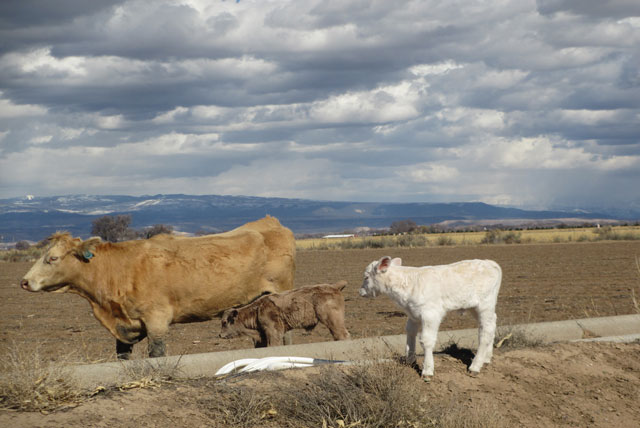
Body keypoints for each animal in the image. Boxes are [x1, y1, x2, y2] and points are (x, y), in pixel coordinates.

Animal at [20, 216, 296, 359]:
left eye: (52, 258)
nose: (24, 281)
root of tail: (270, 222)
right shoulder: (125, 327)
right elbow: (122, 355)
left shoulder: (157, 320)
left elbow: (156, 354)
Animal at [219, 281, 351, 347]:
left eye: (225, 322)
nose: (220, 335)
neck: (257, 309)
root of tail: (333, 286)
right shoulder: (262, 337)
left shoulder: (273, 332)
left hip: (333, 321)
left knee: (342, 335)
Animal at [360, 257, 502, 378]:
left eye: (366, 277)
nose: (360, 292)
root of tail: (489, 263)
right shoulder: (413, 314)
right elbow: (410, 333)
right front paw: (410, 360)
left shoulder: (430, 314)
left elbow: (426, 340)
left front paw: (427, 370)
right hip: (475, 307)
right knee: (491, 324)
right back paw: (487, 359)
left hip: (485, 305)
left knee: (486, 332)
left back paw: (475, 366)